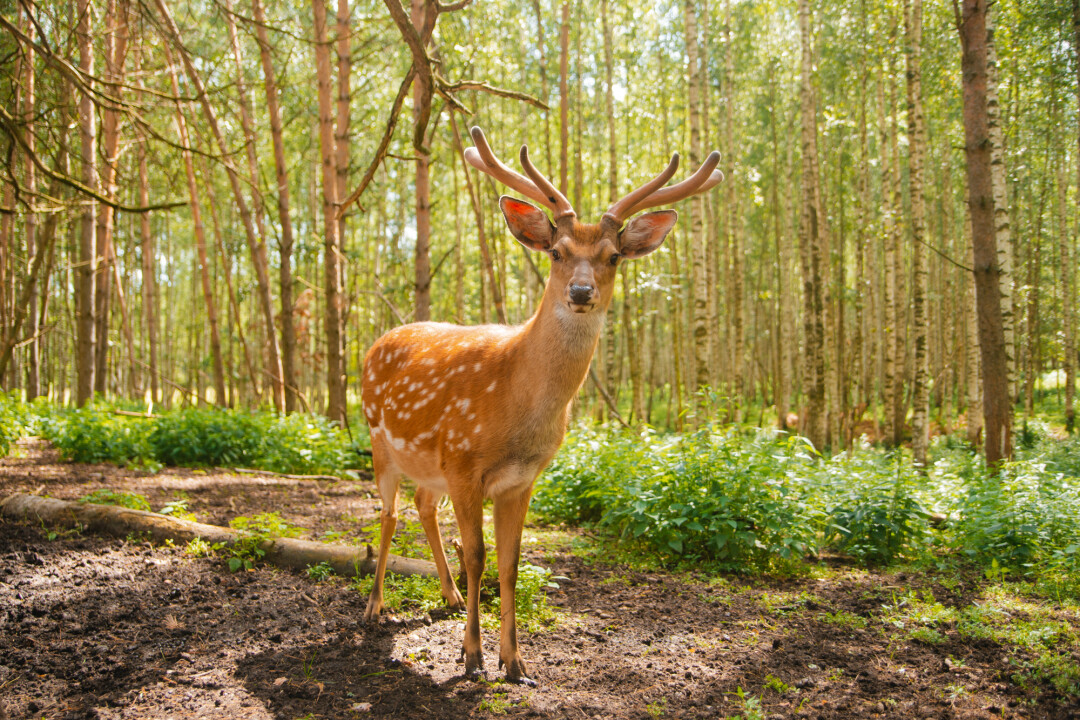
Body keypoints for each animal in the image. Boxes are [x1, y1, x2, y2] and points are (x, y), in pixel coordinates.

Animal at [358, 126, 721, 686]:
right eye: (556, 251)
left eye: (613, 256)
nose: (581, 291)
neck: (515, 405)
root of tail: (376, 343)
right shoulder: (464, 463)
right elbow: (478, 556)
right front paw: (472, 659)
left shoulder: (521, 479)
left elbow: (510, 564)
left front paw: (515, 664)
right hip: (378, 438)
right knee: (390, 513)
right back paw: (374, 606)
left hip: (427, 465)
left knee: (422, 506)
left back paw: (448, 595)